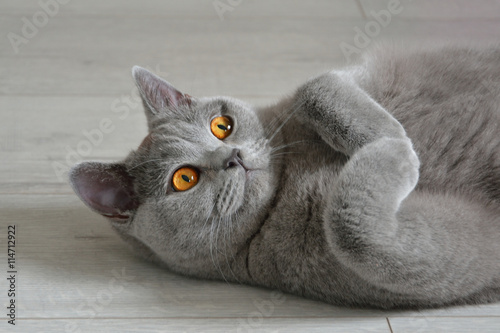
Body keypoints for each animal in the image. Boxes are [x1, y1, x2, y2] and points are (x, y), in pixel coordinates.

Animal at [69, 44, 500, 308]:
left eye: (221, 126)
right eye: (184, 179)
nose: (233, 156)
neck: (287, 185)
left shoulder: (327, 85)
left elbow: (315, 86)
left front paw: (392, 134)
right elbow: (353, 231)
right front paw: (399, 147)